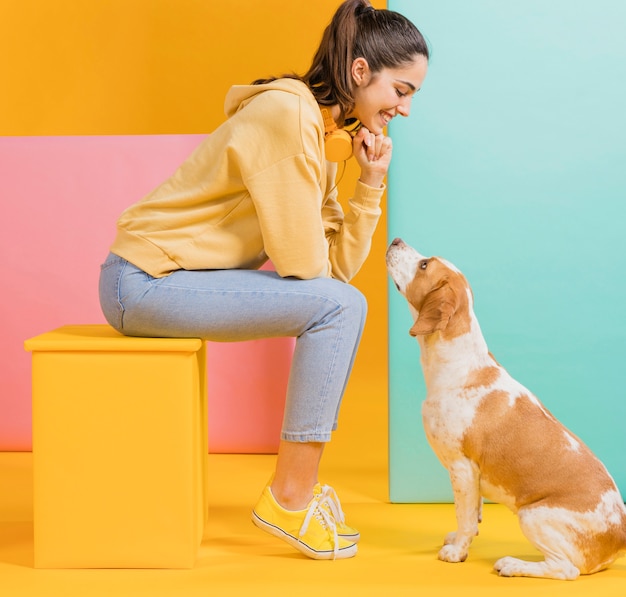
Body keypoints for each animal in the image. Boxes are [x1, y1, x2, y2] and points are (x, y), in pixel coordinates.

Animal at [386, 236, 624, 576]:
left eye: (424, 265)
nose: (395, 239)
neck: (461, 366)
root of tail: (621, 534)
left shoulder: (461, 468)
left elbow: (464, 516)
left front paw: (457, 552)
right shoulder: (471, 477)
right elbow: (472, 516)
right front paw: (459, 540)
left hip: (532, 515)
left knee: (565, 570)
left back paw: (512, 564)